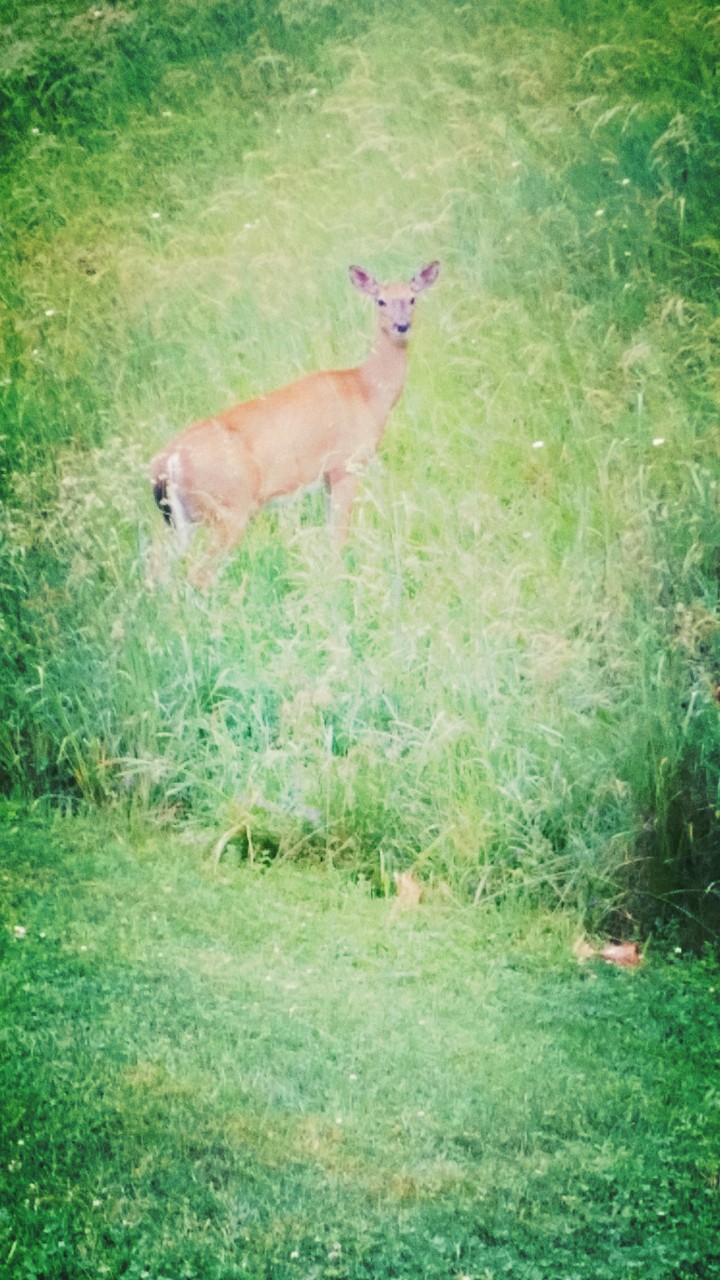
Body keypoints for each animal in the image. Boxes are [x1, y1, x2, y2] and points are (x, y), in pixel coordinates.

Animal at [148, 260, 440, 583]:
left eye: (412, 298)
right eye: (381, 301)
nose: (402, 326)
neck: (367, 391)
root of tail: (166, 461)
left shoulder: (326, 476)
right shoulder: (346, 464)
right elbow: (339, 535)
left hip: (181, 520)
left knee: (157, 563)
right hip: (228, 510)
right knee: (198, 573)